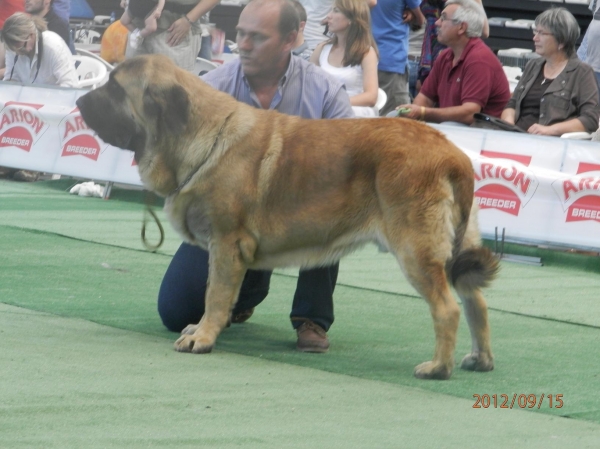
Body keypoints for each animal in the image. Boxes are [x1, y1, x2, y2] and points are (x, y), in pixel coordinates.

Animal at [77, 54, 500, 380]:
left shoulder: (226, 245)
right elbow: (216, 293)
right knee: (475, 301)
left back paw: (438, 368)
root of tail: (452, 153)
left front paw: (203, 337)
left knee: (447, 308)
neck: (199, 136)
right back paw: (480, 359)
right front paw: (204, 328)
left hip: (415, 248)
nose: (79, 102)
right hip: (459, 244)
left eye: (116, 89)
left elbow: (215, 293)